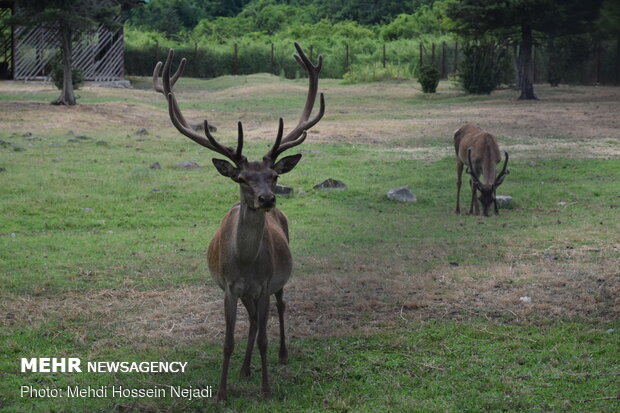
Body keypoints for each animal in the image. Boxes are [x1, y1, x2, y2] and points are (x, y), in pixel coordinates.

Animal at [153, 42, 324, 400]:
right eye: (242, 178)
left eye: (274, 176)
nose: (267, 199)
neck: (244, 263)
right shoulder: (229, 289)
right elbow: (229, 341)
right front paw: (222, 392)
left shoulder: (265, 284)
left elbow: (263, 339)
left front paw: (266, 389)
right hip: (247, 294)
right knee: (255, 319)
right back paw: (244, 369)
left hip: (278, 281)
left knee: (279, 308)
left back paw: (282, 355)